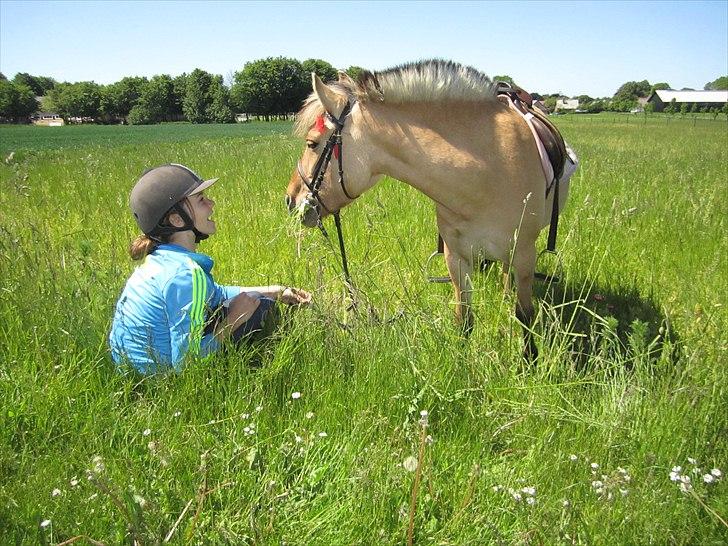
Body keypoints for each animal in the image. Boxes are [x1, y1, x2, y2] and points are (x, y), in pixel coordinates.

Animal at [288, 60, 576, 356]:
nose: (291, 199)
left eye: (312, 143)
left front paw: (529, 359)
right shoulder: (456, 257)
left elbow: (524, 315)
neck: (488, 170)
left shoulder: (525, 255)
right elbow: (464, 319)